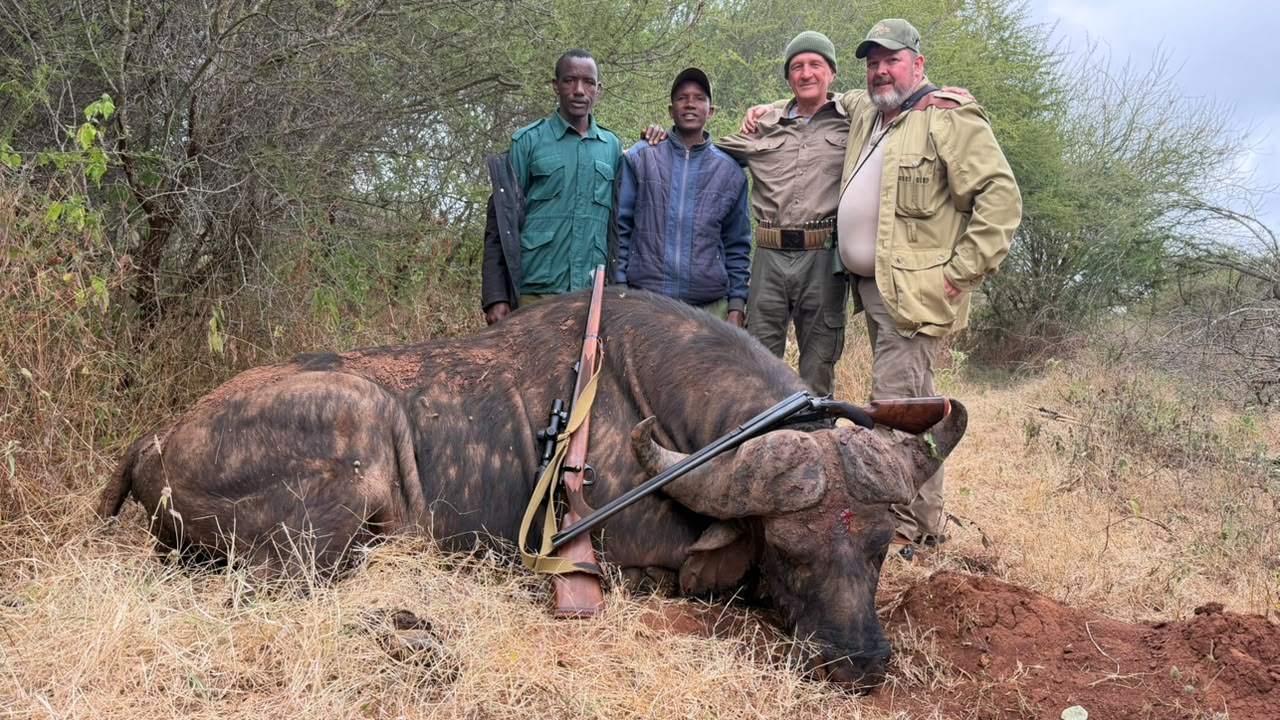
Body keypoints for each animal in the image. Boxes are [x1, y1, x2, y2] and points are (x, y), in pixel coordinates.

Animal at [98, 290, 966, 688]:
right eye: (789, 547)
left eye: (880, 547)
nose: (859, 661)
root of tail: (158, 440)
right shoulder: (636, 565)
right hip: (351, 445)